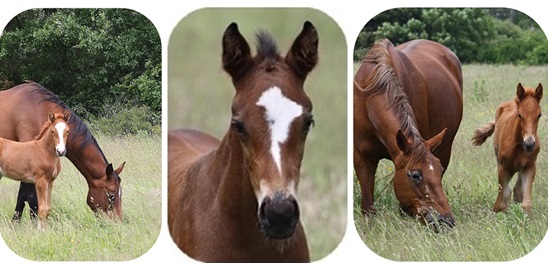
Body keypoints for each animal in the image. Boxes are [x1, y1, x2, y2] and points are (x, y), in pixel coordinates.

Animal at [356, 39, 462, 230]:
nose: (445, 221)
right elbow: (367, 204)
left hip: (445, 147)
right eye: (415, 175)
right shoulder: (361, 156)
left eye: (440, 170)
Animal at [470, 82, 544, 213]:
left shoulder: (529, 167)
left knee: (517, 190)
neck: (519, 146)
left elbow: (526, 204)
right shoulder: (504, 168)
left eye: (539, 115)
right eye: (519, 115)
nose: (529, 144)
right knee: (508, 191)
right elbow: (499, 203)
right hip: (499, 160)